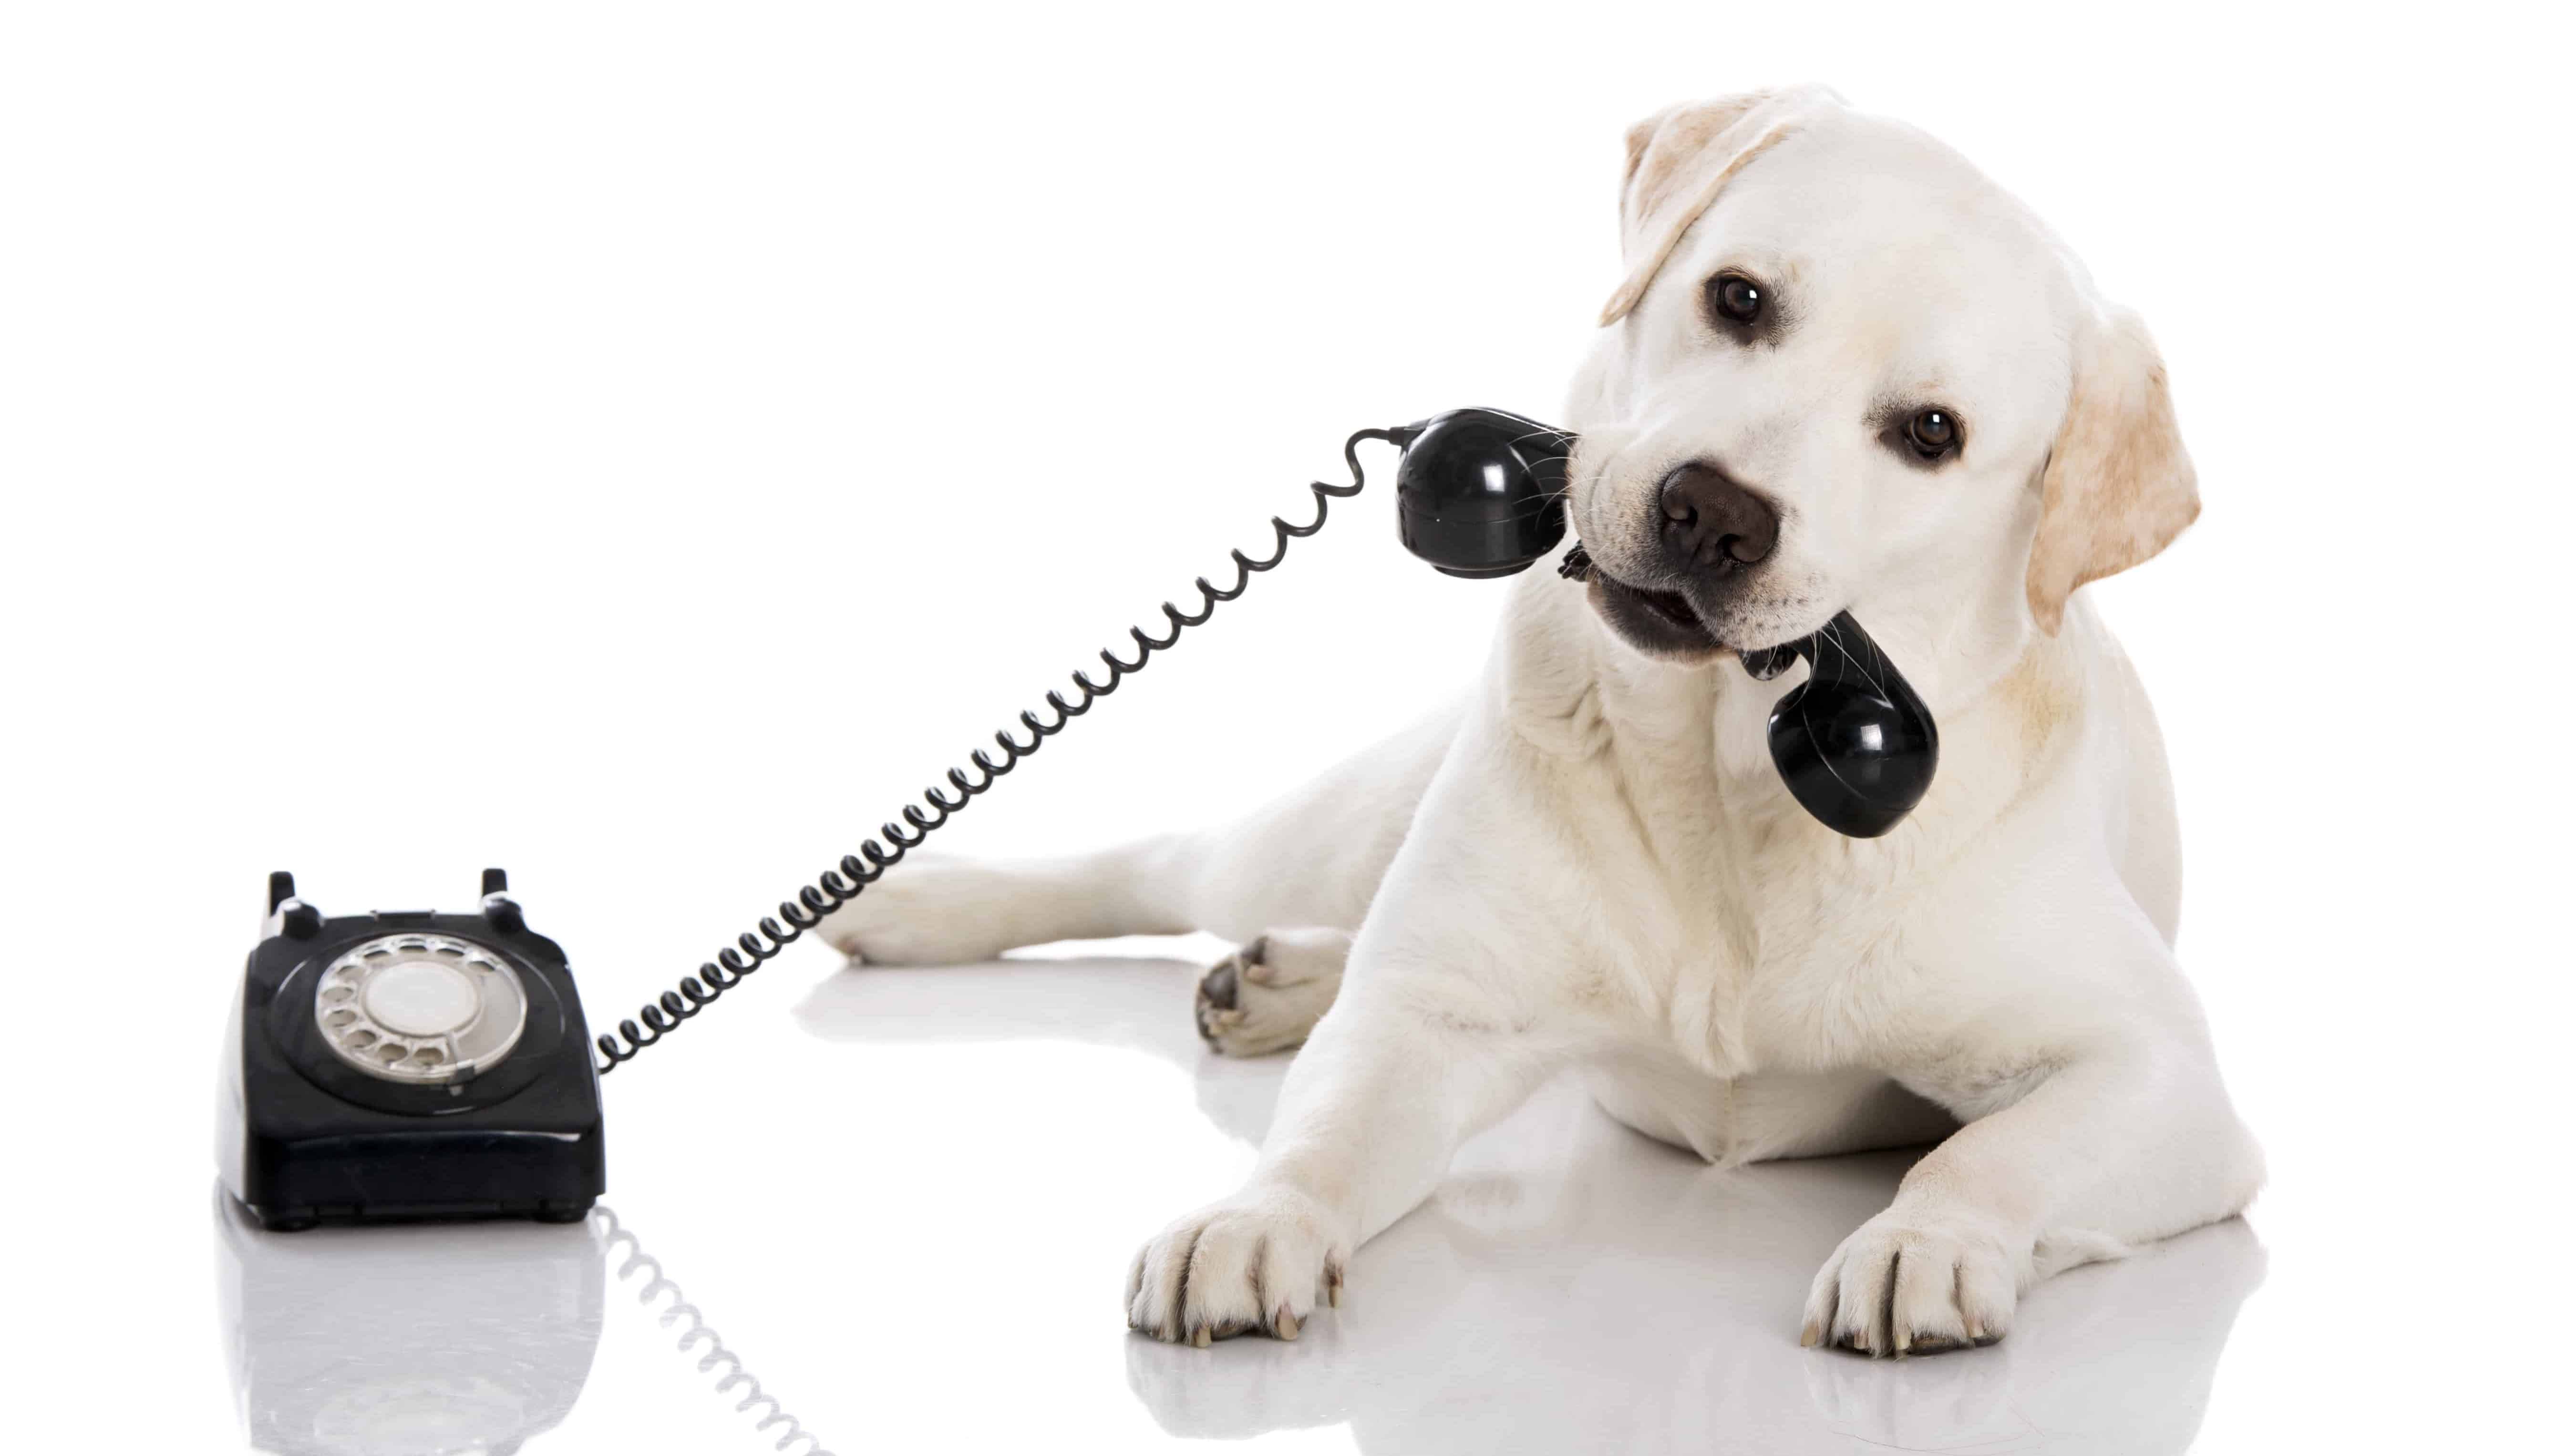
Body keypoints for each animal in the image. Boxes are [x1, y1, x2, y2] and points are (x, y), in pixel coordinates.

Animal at [826, 85, 2269, 1366]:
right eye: (1737, 298)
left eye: (1929, 432)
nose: (1713, 512)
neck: (1718, 771)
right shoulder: (1422, 1028)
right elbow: (1322, 1137)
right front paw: (1252, 1218)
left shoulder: (2161, 1080)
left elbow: (1991, 1149)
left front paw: (1924, 1240)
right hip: (1339, 827)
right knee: (1170, 861)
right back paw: (921, 900)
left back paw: (1280, 978)